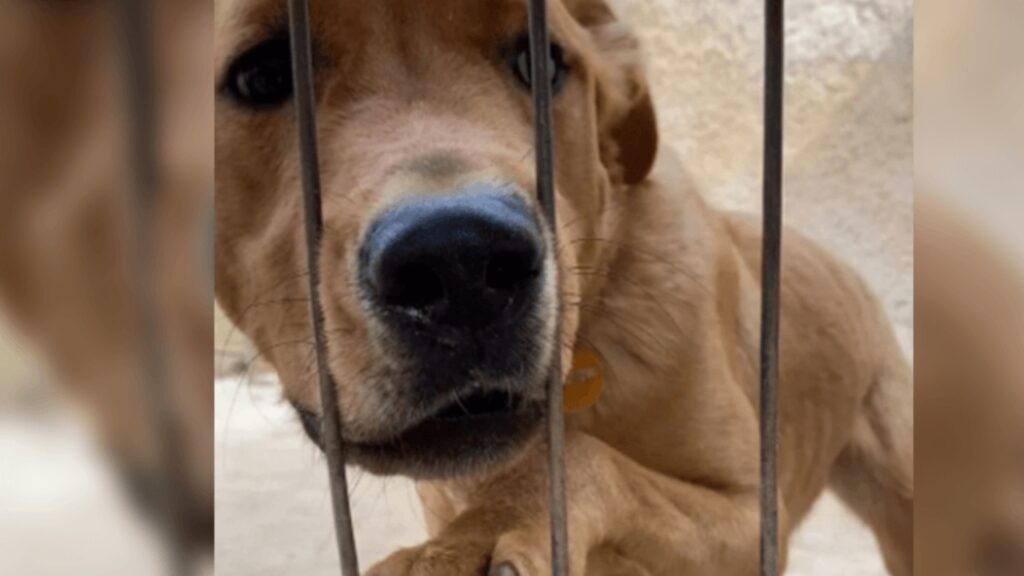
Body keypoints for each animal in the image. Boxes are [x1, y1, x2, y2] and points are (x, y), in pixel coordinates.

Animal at [214, 2, 913, 569]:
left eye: (541, 61)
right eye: (263, 75)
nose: (460, 262)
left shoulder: (751, 516)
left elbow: (583, 458)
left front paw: (469, 544)